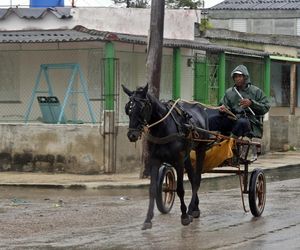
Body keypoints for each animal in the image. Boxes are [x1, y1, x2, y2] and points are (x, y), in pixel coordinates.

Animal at [122, 84, 209, 230]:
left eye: (142, 108)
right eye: (128, 108)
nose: (132, 135)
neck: (163, 128)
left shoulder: (178, 162)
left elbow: (180, 189)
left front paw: (184, 216)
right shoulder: (154, 161)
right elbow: (152, 190)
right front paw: (148, 219)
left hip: (200, 149)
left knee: (197, 179)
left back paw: (190, 209)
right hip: (187, 155)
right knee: (192, 178)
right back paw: (195, 209)